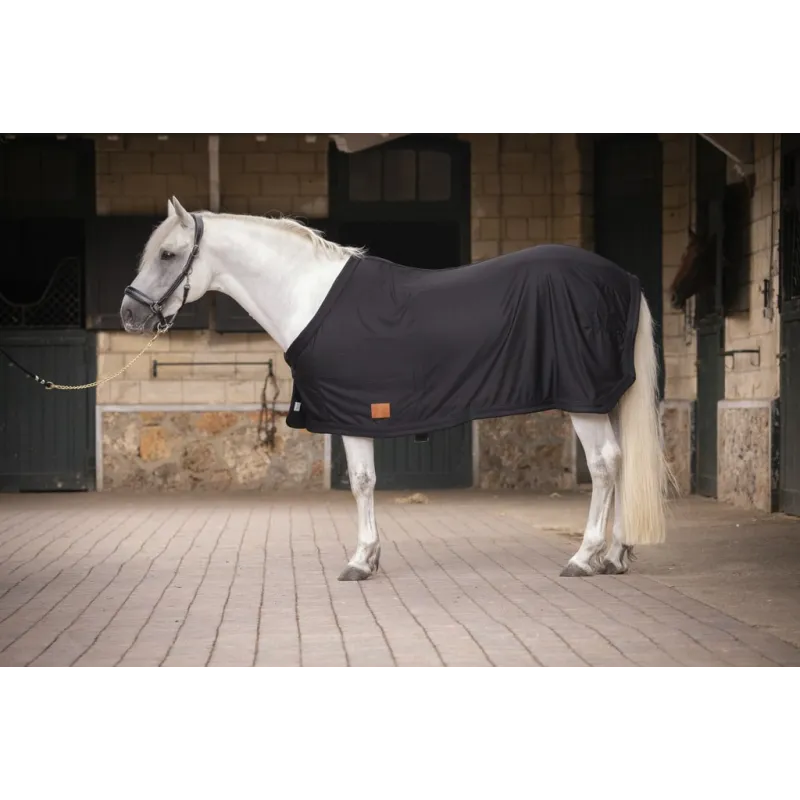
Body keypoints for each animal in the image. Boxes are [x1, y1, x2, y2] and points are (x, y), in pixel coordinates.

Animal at [120, 196, 675, 581]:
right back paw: (616, 556)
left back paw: (584, 557)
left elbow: (363, 482)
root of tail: (623, 280)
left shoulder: (353, 411)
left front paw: (361, 560)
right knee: (623, 462)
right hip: (606, 397)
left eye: (168, 254)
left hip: (584, 401)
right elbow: (366, 483)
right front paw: (369, 557)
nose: (128, 314)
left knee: (604, 464)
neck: (309, 294)